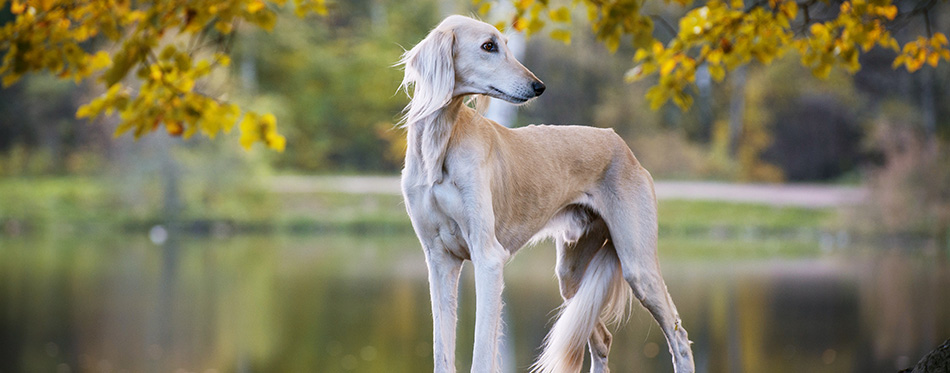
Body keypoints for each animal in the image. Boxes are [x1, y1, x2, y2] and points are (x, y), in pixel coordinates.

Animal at [398, 15, 696, 372]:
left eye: (505, 45)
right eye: (488, 46)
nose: (538, 87)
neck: (440, 144)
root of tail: (620, 143)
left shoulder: (488, 258)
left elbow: (482, 354)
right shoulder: (440, 259)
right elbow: (442, 352)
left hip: (639, 265)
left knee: (679, 337)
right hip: (571, 275)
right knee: (602, 339)